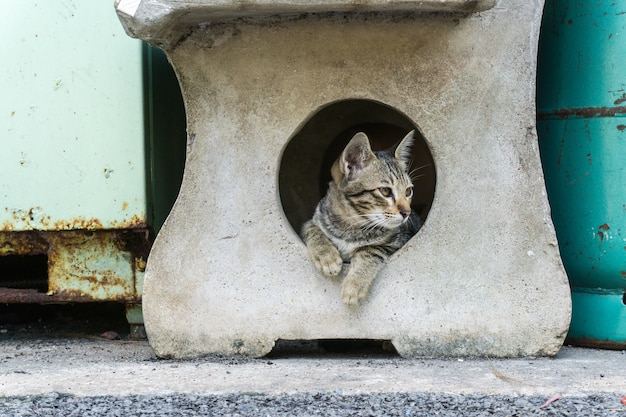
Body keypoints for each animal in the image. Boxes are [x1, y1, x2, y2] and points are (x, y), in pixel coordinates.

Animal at [302, 130, 422, 306]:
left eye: (408, 191)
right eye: (385, 191)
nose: (407, 212)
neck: (350, 225)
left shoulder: (400, 240)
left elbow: (370, 250)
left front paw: (354, 285)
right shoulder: (315, 218)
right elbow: (312, 228)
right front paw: (327, 257)